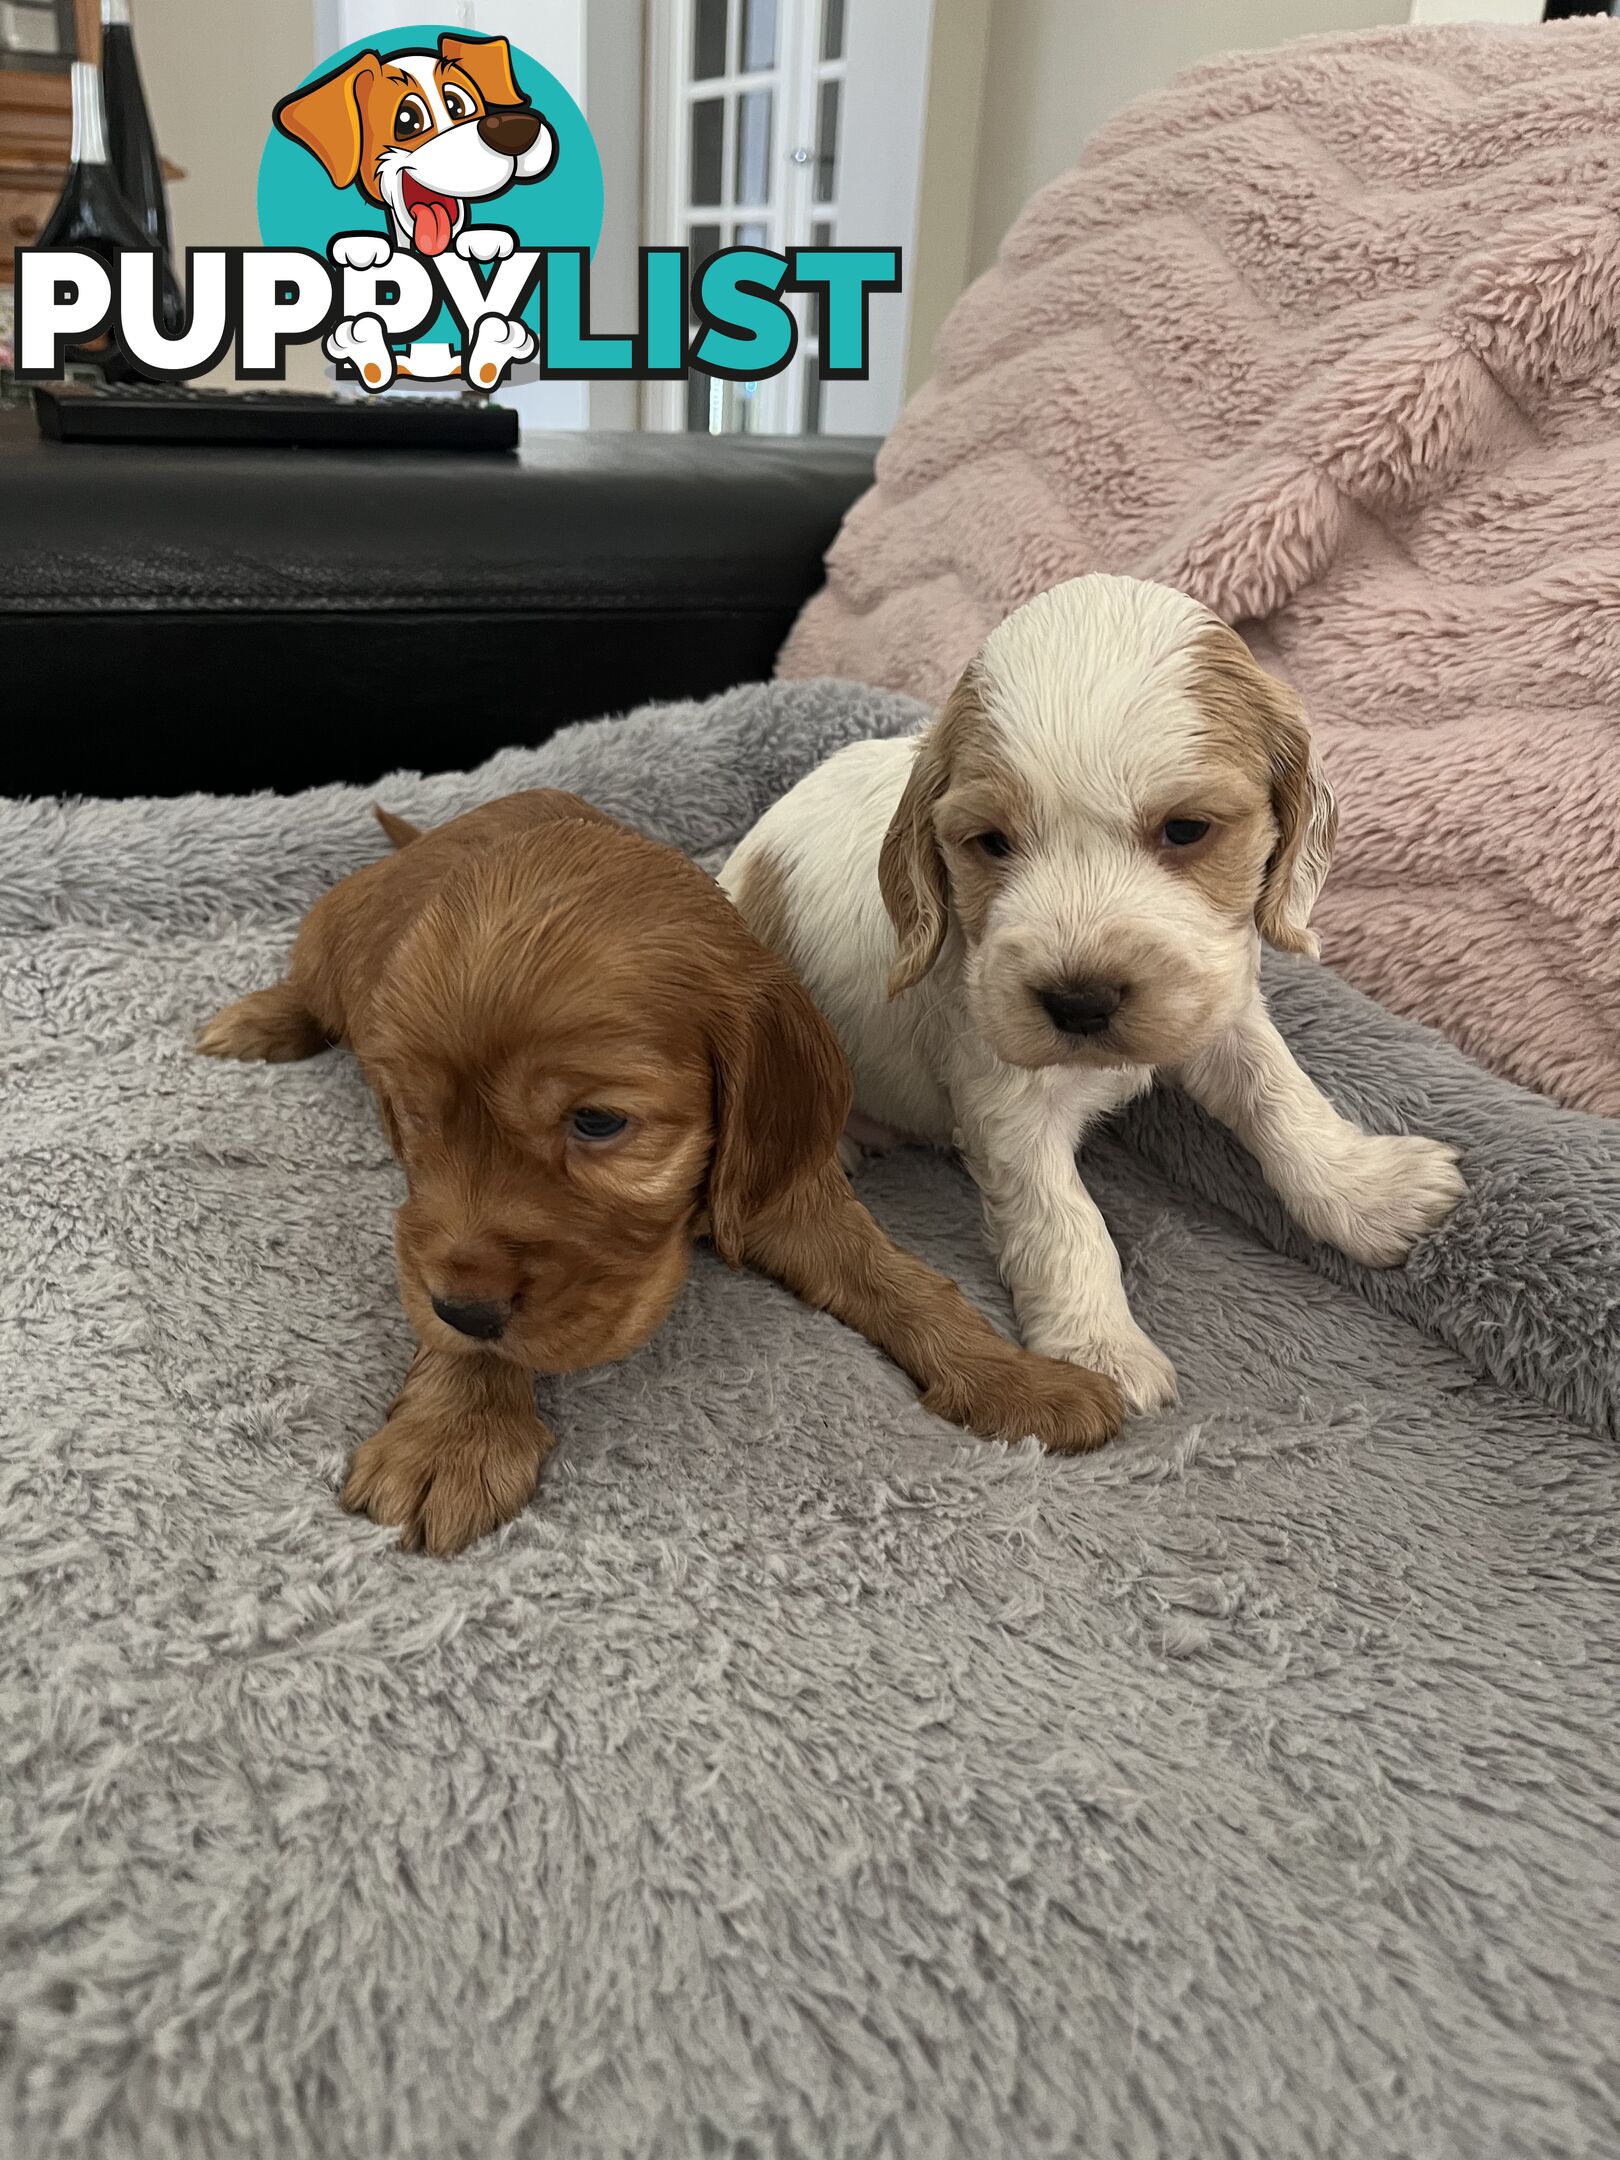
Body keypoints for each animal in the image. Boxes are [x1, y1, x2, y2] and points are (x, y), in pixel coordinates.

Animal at [196, 794, 1123, 1555]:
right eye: (415, 1115)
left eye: (599, 1123)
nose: (463, 1308)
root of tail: (425, 837)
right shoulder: (432, 1226)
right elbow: (446, 1279)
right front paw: (454, 1435)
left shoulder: (781, 1184)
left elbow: (906, 1281)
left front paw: (1018, 1379)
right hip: (329, 943)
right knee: (306, 982)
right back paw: (254, 1022)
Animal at [721, 574, 1468, 1416]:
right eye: (992, 842)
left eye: (1186, 829)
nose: (1079, 1001)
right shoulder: (1005, 1099)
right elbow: (1065, 1221)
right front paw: (1099, 1351)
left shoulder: (1219, 1004)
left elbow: (1282, 1096)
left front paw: (1367, 1192)